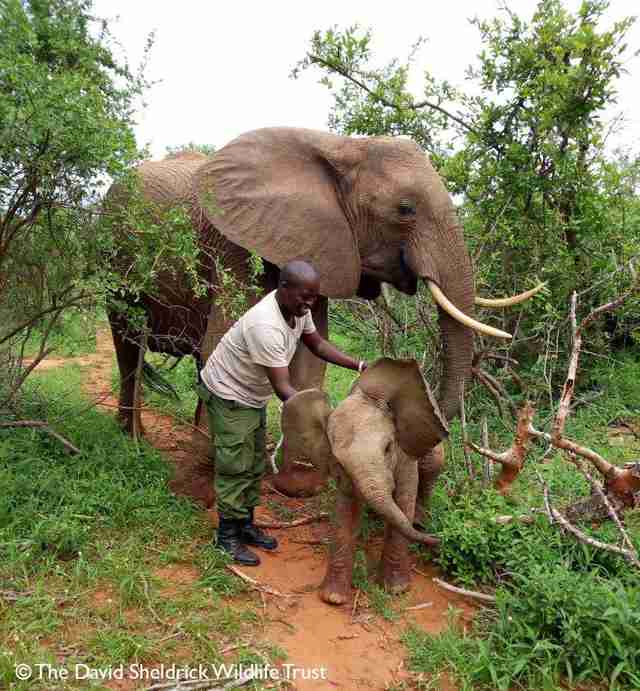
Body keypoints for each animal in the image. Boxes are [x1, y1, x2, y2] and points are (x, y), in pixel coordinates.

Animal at [104, 127, 539, 512]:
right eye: (405, 210)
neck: (341, 146)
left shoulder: (322, 249)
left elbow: (312, 357)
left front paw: (298, 486)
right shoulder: (233, 245)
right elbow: (221, 343)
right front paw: (200, 494)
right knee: (128, 345)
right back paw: (133, 439)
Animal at [281, 357, 448, 604]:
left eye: (388, 448)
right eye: (338, 461)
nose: (439, 540)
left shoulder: (405, 454)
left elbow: (404, 498)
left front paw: (396, 590)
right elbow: (346, 509)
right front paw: (333, 598)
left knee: (432, 466)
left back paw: (419, 522)